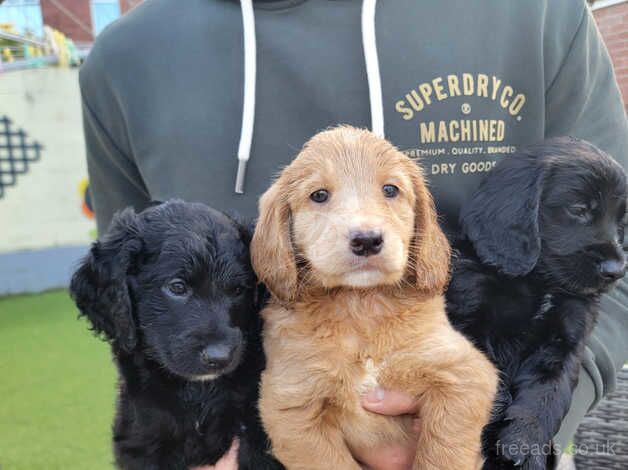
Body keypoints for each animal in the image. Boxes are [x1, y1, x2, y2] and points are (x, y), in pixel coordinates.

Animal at [250, 126, 500, 470]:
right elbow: (332, 463)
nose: (367, 240)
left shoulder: (463, 371)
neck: (361, 307)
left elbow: (443, 450)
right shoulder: (291, 406)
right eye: (319, 195)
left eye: (390, 189)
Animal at [446, 138, 628, 470]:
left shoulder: (565, 341)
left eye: (621, 221)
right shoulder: (467, 319)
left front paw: (526, 444)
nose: (617, 270)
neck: (538, 282)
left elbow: (549, 390)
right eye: (579, 210)